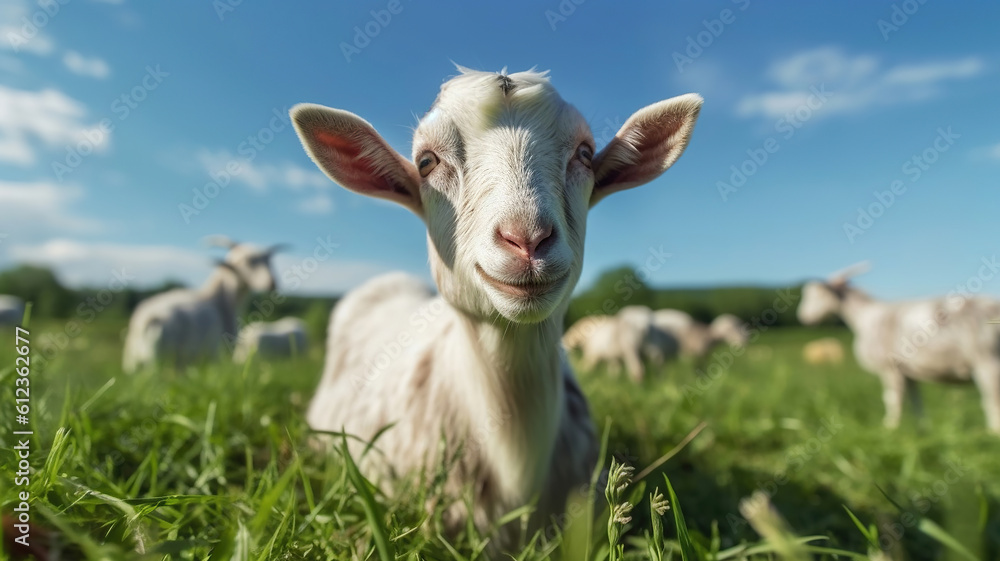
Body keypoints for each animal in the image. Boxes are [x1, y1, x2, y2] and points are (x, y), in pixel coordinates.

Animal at [122, 237, 281, 372]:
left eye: (269, 261)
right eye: (248, 261)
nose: (272, 283)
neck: (220, 300)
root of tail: (147, 319)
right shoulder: (216, 353)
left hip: (132, 360)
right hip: (159, 358)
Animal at [798, 263, 1000, 433]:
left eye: (819, 295)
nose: (803, 317)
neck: (865, 318)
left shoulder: (890, 368)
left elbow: (892, 399)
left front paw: (890, 428)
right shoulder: (908, 373)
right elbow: (916, 402)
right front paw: (923, 428)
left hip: (987, 361)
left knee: (992, 400)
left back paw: (991, 433)